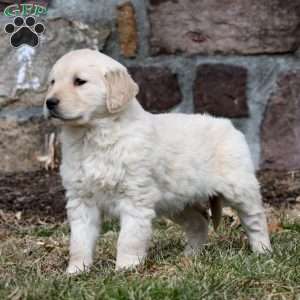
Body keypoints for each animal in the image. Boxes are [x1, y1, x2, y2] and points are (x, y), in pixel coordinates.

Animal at [44, 49, 272, 274]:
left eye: (79, 81)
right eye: (52, 82)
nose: (49, 102)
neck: (93, 135)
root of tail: (228, 125)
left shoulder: (134, 198)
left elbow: (128, 239)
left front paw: (126, 269)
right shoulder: (81, 200)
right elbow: (79, 241)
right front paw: (76, 271)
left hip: (239, 186)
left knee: (255, 219)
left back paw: (263, 250)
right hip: (176, 201)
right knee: (199, 221)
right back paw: (190, 256)